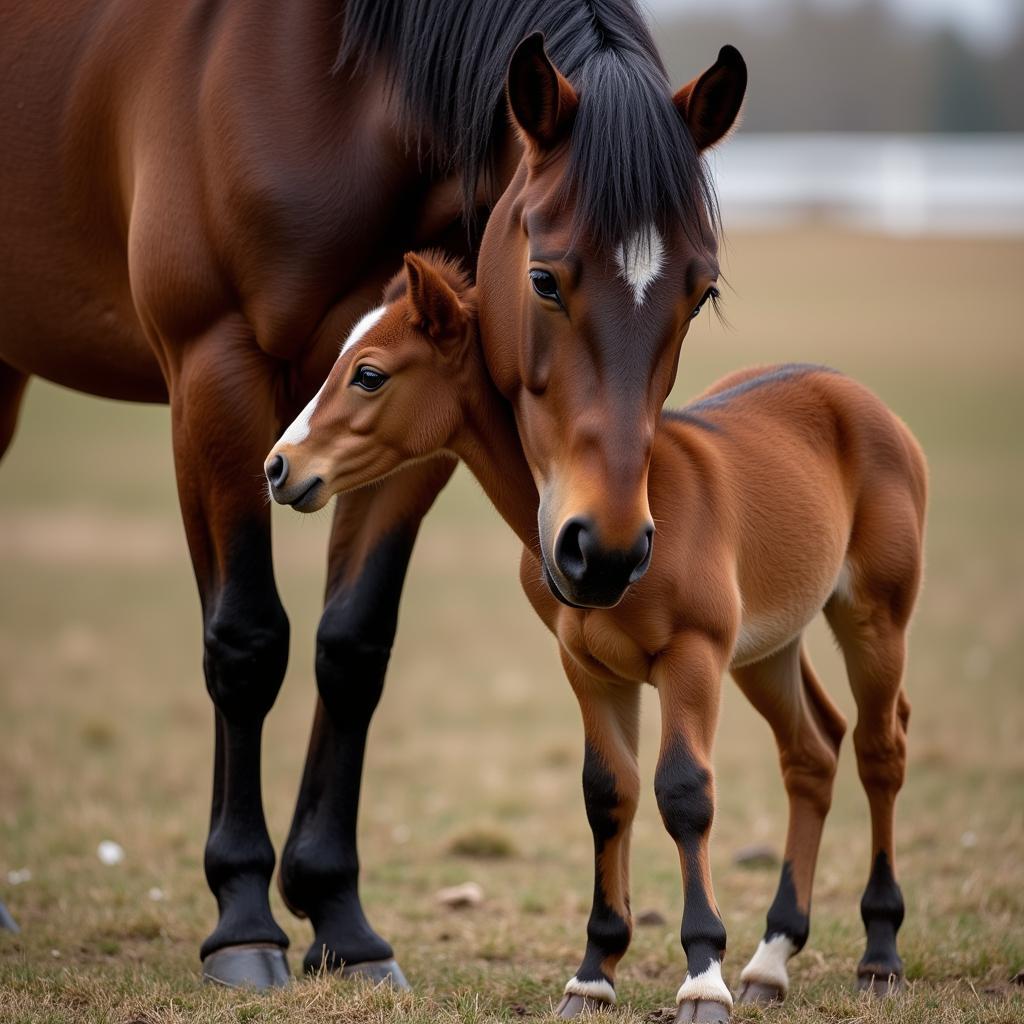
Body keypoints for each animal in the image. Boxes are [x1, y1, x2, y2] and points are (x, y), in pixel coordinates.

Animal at [0, 2, 745, 991]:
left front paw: (341, 923)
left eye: (700, 292)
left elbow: (352, 647)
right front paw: (244, 921)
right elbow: (247, 640)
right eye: (544, 278)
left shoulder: (424, 402)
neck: (332, 89)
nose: (610, 549)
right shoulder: (213, 371)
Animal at [266, 251, 929, 1019]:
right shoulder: (588, 666)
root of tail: (855, 394)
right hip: (766, 647)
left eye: (368, 373)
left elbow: (684, 792)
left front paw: (703, 976)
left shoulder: (691, 656)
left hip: (873, 617)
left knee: (881, 749)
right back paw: (771, 961)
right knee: (813, 750)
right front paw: (592, 975)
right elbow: (608, 794)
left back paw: (880, 954)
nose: (278, 467)